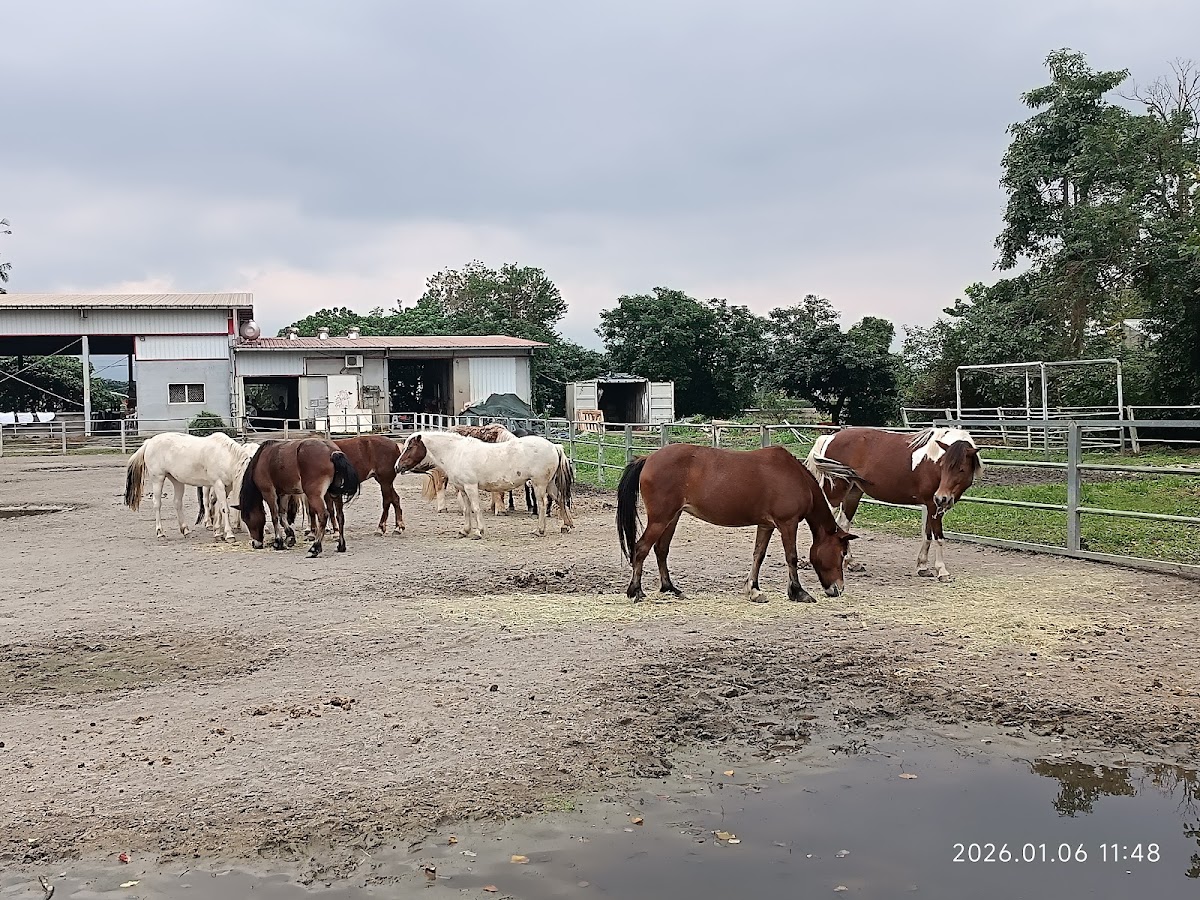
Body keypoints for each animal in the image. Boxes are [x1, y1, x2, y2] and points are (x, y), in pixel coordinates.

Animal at [124, 433, 256, 541]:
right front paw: (229, 535)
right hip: (158, 478)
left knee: (177, 503)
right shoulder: (218, 484)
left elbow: (219, 508)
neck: (225, 456)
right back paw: (160, 533)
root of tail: (149, 442)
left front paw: (218, 533)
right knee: (157, 504)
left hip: (177, 481)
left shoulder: (226, 486)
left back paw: (186, 530)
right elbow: (224, 509)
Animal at [396, 431, 574, 538]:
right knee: (560, 499)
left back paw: (539, 530)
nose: (397, 466)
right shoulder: (463, 489)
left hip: (539, 484)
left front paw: (478, 531)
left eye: (410, 447)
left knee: (542, 505)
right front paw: (464, 530)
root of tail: (554, 446)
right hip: (549, 484)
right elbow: (466, 509)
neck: (457, 453)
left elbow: (475, 508)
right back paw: (566, 526)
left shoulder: (470, 487)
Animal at [616, 444, 861, 603]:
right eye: (841, 553)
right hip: (660, 519)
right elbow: (791, 557)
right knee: (641, 548)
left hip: (672, 517)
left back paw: (670, 588)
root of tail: (648, 458)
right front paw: (798, 592)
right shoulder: (787, 524)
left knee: (661, 550)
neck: (795, 477)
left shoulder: (766, 525)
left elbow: (758, 555)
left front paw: (753, 590)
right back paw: (635, 591)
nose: (838, 589)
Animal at [804, 427, 981, 582]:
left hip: (853, 493)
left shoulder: (931, 505)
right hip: (834, 493)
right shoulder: (933, 504)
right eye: (943, 466)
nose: (942, 498)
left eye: (961, 469)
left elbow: (927, 535)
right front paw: (942, 571)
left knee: (843, 525)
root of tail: (830, 438)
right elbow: (938, 538)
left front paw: (922, 567)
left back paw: (851, 563)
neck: (933, 459)